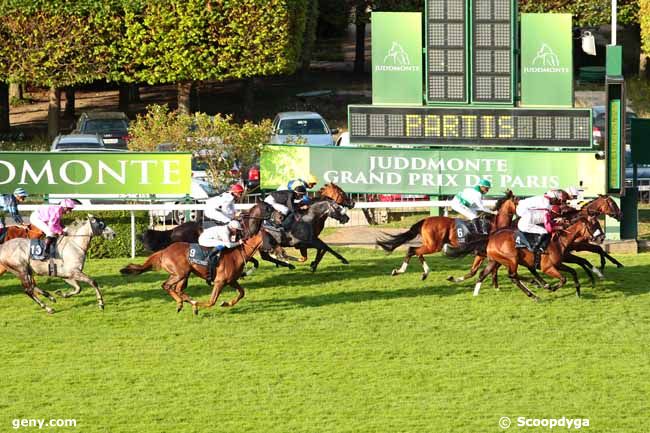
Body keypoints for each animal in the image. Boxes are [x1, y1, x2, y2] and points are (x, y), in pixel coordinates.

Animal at [119, 231, 264, 312]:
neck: (237, 254)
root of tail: (164, 251)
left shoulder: (231, 280)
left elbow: (242, 293)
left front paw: (226, 303)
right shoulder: (220, 281)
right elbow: (211, 301)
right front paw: (196, 306)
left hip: (183, 275)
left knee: (177, 289)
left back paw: (182, 302)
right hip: (180, 273)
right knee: (167, 286)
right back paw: (183, 303)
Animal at [374, 190, 516, 280]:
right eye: (517, 201)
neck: (495, 224)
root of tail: (425, 220)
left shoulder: (482, 253)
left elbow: (477, 269)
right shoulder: (484, 251)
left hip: (430, 244)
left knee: (416, 251)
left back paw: (424, 273)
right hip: (434, 245)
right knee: (412, 250)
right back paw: (401, 271)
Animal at [470, 215, 604, 300]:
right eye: (594, 225)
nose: (602, 238)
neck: (559, 240)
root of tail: (491, 238)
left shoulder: (559, 263)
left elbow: (574, 270)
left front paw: (578, 292)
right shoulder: (547, 267)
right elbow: (564, 279)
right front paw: (552, 288)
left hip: (494, 260)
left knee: (484, 274)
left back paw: (476, 293)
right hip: (512, 259)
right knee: (513, 276)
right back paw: (534, 293)